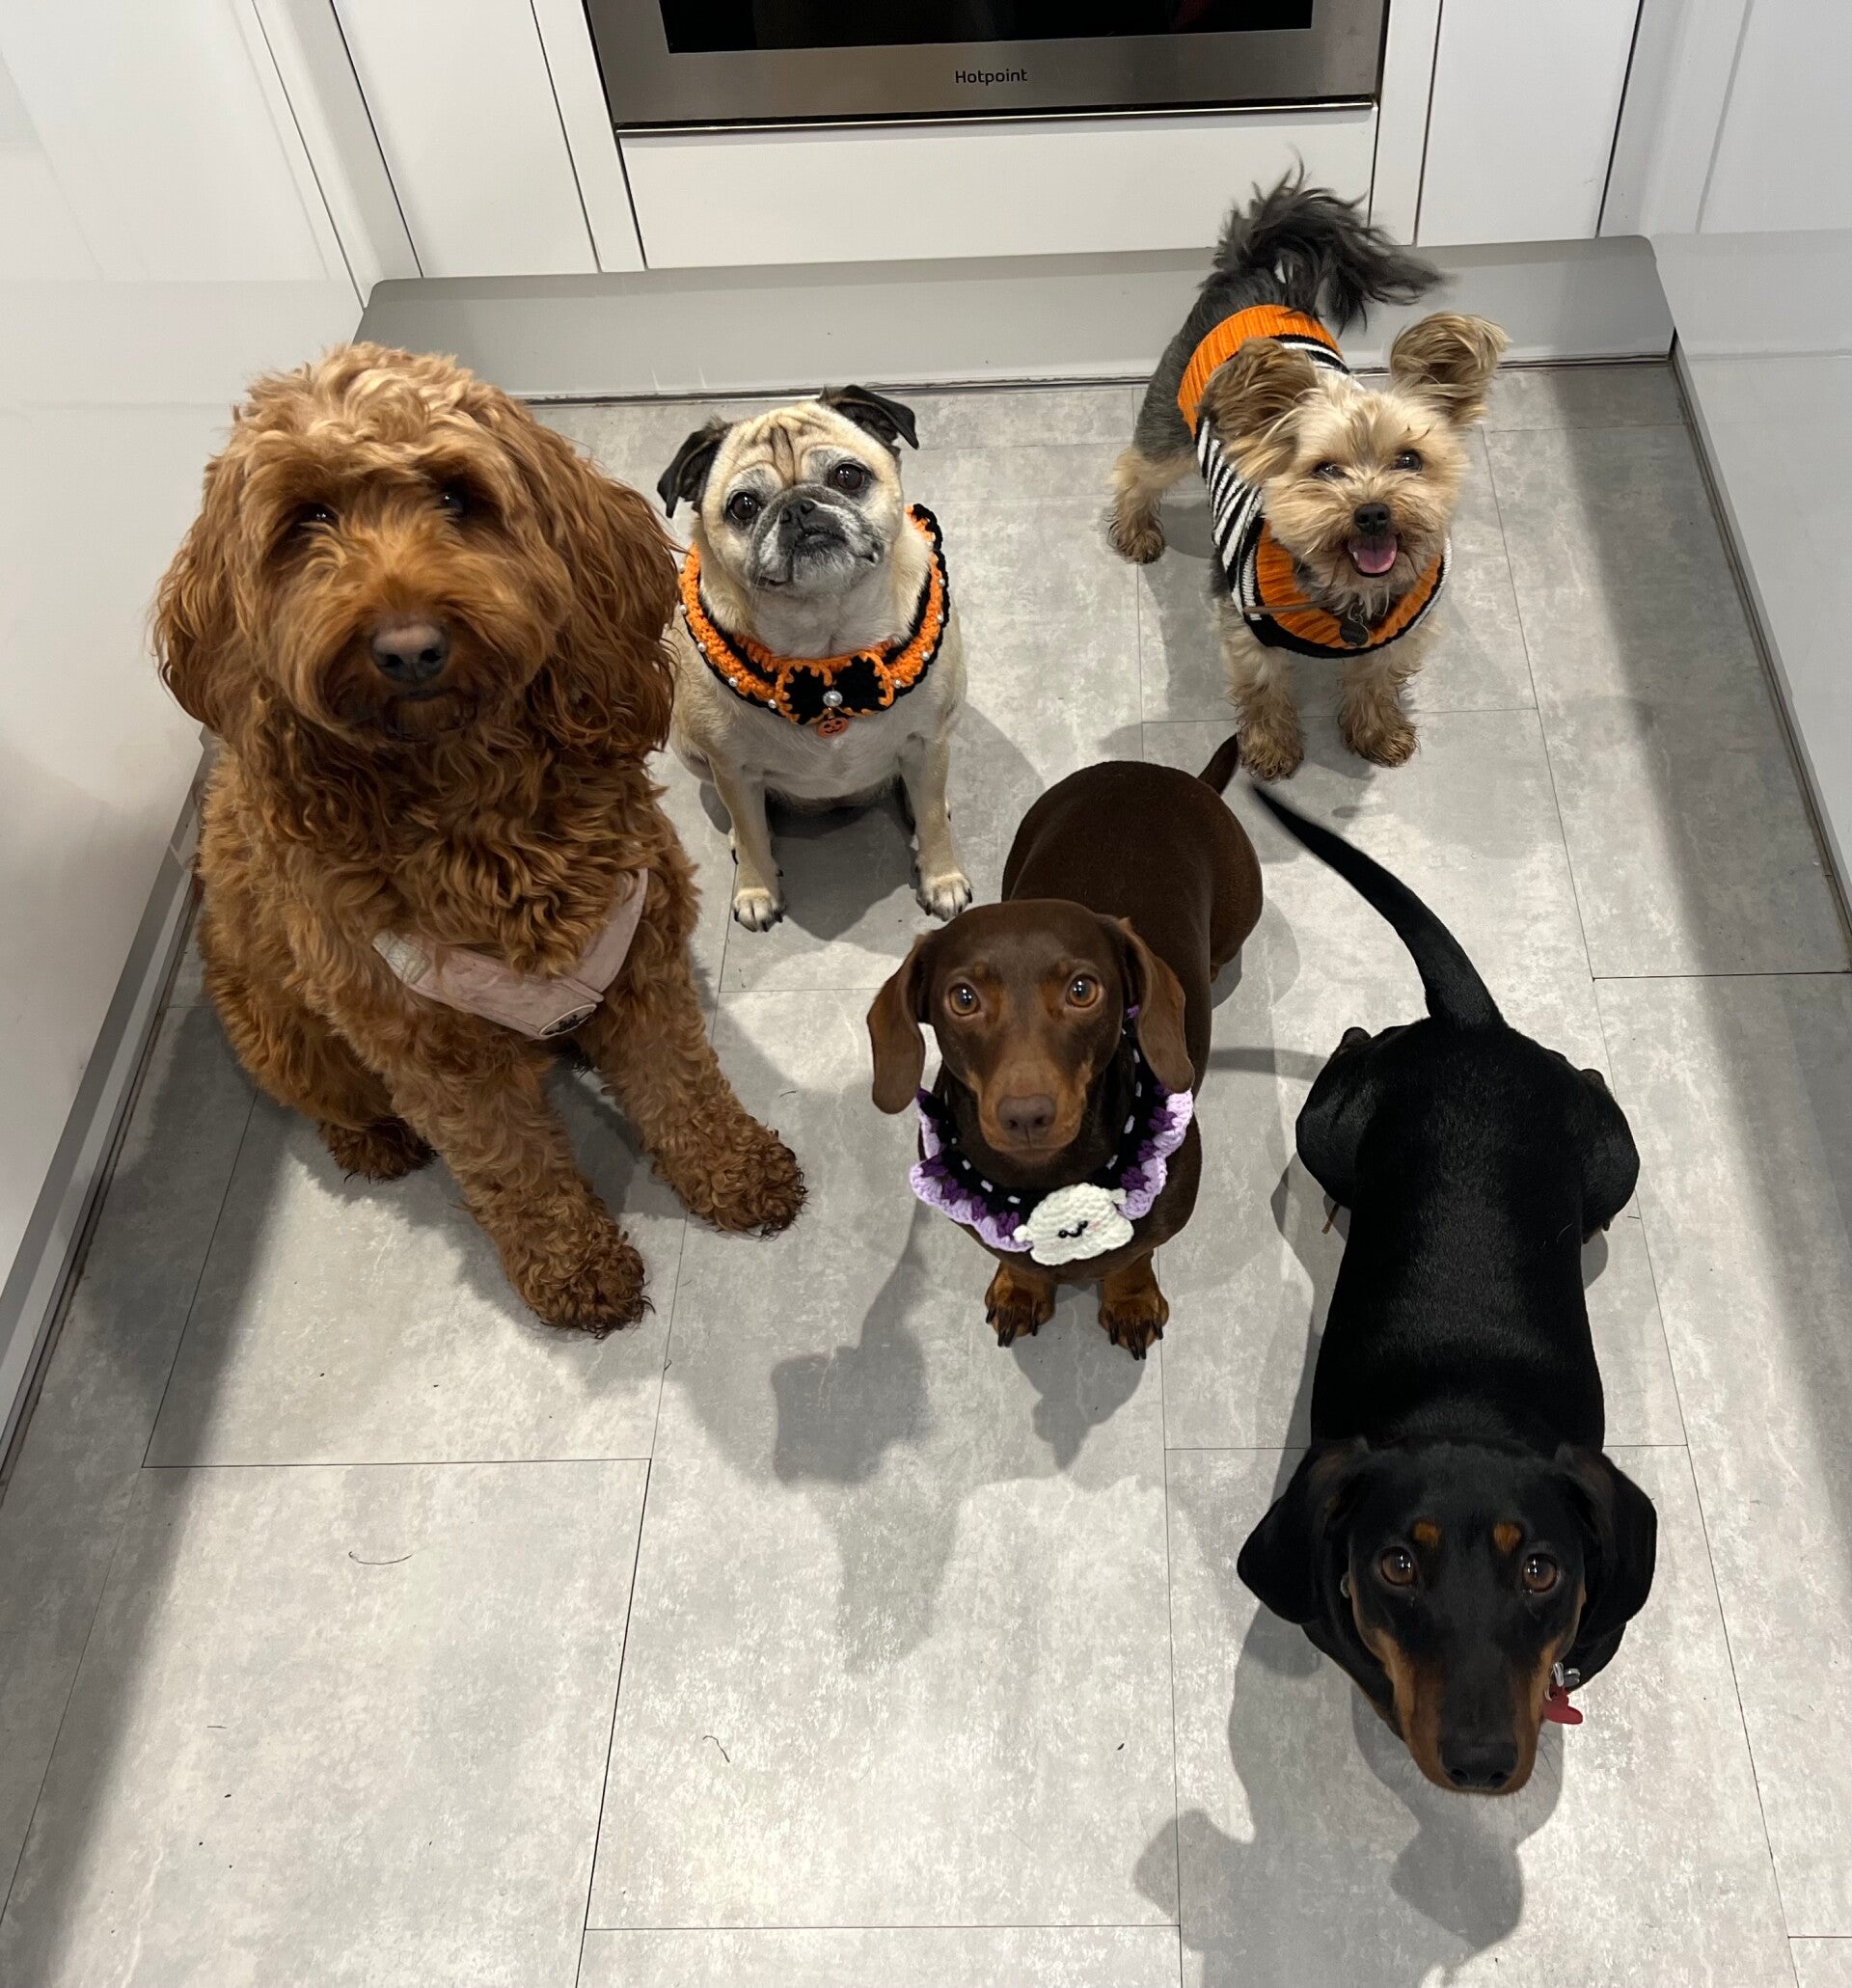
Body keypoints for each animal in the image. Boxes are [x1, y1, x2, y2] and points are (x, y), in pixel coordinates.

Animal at [155, 342, 804, 1333]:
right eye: (308, 519)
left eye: (458, 495)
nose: (408, 645)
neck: (474, 808)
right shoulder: (432, 1053)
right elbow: (513, 1167)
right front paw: (575, 1268)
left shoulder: (641, 956)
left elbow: (680, 1082)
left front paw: (733, 1171)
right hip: (278, 1029)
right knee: (326, 1094)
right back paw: (375, 1138)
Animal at [657, 387, 970, 933]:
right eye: (744, 506)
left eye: (847, 477)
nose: (800, 507)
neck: (828, 651)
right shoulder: (732, 768)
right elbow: (752, 834)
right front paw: (757, 890)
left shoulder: (929, 738)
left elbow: (933, 824)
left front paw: (941, 879)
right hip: (691, 751)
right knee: (745, 818)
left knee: (926, 792)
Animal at [867, 743, 1261, 1357]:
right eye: (963, 997)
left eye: (1082, 990)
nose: (1027, 1116)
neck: (1045, 1176)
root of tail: (1155, 773)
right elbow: (1019, 1259)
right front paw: (1021, 1290)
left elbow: (1133, 1252)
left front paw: (1130, 1300)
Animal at [1107, 179, 1507, 781]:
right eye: (1325, 470)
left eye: (1409, 460)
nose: (1373, 511)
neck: (1351, 597)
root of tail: (1250, 272)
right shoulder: (1247, 629)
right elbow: (1264, 691)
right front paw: (1272, 748)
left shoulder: (1403, 637)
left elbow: (1377, 682)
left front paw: (1377, 732)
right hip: (1171, 425)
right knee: (1135, 470)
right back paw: (1135, 531)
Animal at [1237, 790, 1656, 1794]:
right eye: (1395, 1563)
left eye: (1542, 1569)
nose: (1481, 1762)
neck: (1469, 1407)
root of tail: (1473, 1027)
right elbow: (1371, 1668)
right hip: (1323, 1129)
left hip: (1617, 1161)